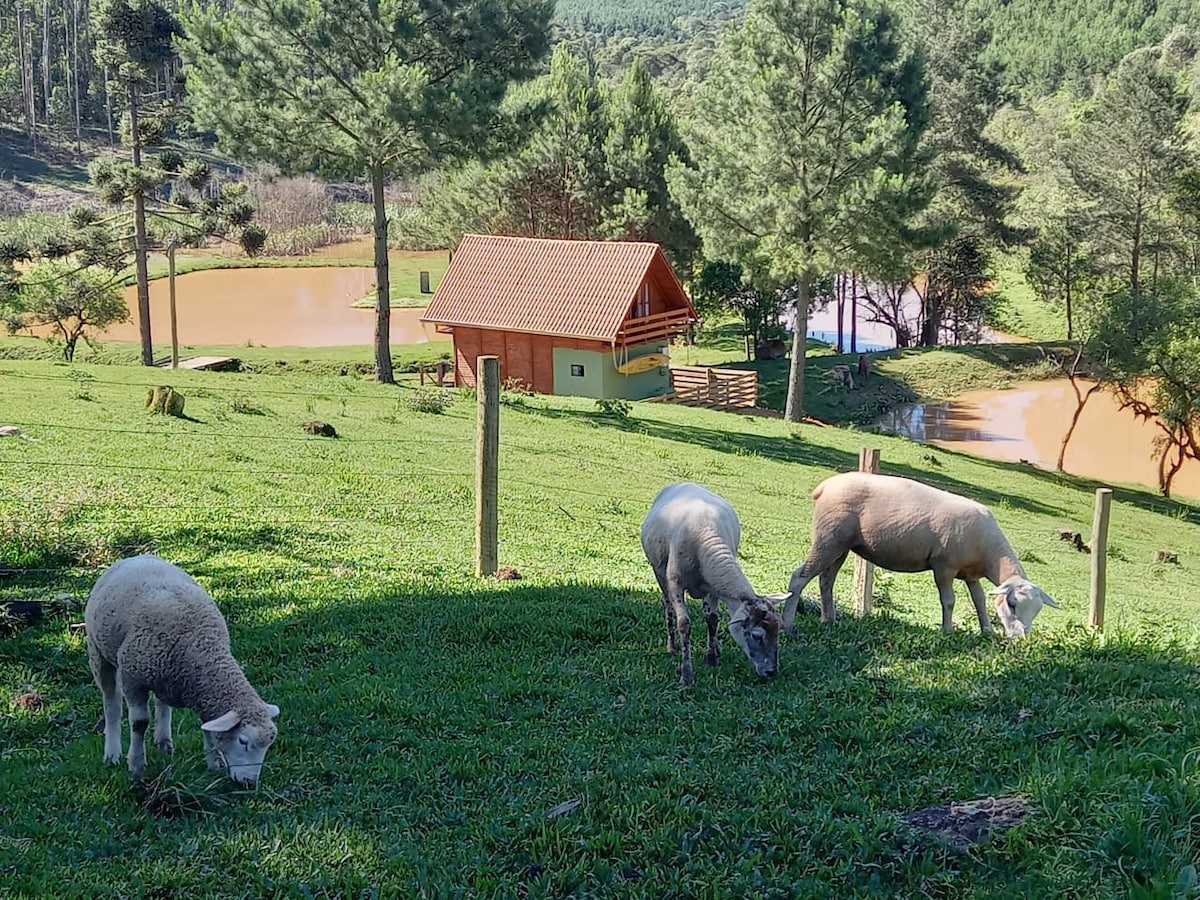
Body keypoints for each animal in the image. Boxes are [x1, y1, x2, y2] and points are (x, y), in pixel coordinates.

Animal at [85, 554, 280, 787]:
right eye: (243, 741)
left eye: (269, 745)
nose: (250, 783)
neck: (202, 650)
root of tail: (136, 557)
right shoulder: (132, 677)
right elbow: (139, 723)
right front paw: (136, 765)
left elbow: (208, 726)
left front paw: (215, 763)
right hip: (98, 653)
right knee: (111, 703)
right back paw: (112, 753)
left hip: (160, 676)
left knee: (161, 702)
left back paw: (163, 741)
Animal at [638, 482, 787, 686]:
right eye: (757, 636)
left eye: (778, 631)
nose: (771, 672)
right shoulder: (676, 583)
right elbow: (684, 624)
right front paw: (686, 674)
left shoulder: (714, 587)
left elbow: (713, 619)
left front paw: (711, 658)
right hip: (659, 571)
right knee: (667, 606)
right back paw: (672, 646)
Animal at [787, 472, 1060, 643]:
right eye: (1012, 604)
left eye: (1037, 610)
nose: (1021, 638)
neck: (989, 551)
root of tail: (825, 486)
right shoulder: (944, 566)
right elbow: (949, 601)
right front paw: (947, 632)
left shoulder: (970, 574)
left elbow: (980, 601)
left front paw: (987, 631)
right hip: (828, 538)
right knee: (799, 576)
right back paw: (789, 624)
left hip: (841, 545)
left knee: (826, 580)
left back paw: (829, 620)